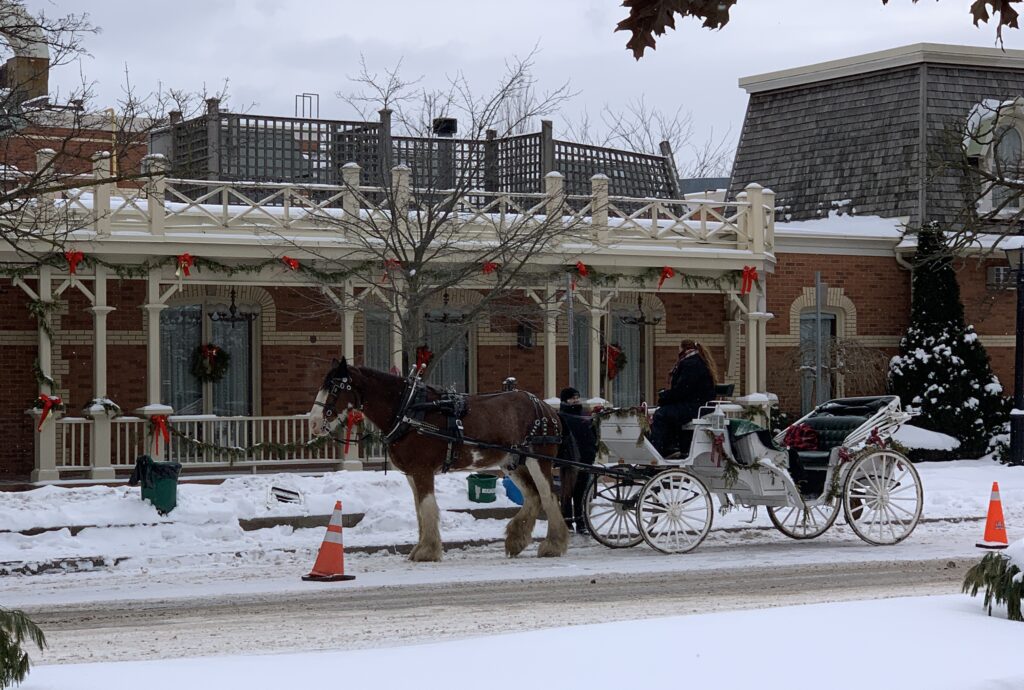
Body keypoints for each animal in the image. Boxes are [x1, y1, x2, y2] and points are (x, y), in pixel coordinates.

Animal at [307, 358, 573, 561]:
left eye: (334, 389)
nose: (313, 423)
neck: (409, 410)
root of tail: (547, 408)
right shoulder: (412, 473)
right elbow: (419, 511)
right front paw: (421, 548)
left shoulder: (422, 470)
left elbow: (428, 508)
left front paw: (427, 551)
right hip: (512, 462)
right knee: (533, 496)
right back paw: (516, 540)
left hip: (539, 460)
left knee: (549, 497)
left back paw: (553, 544)